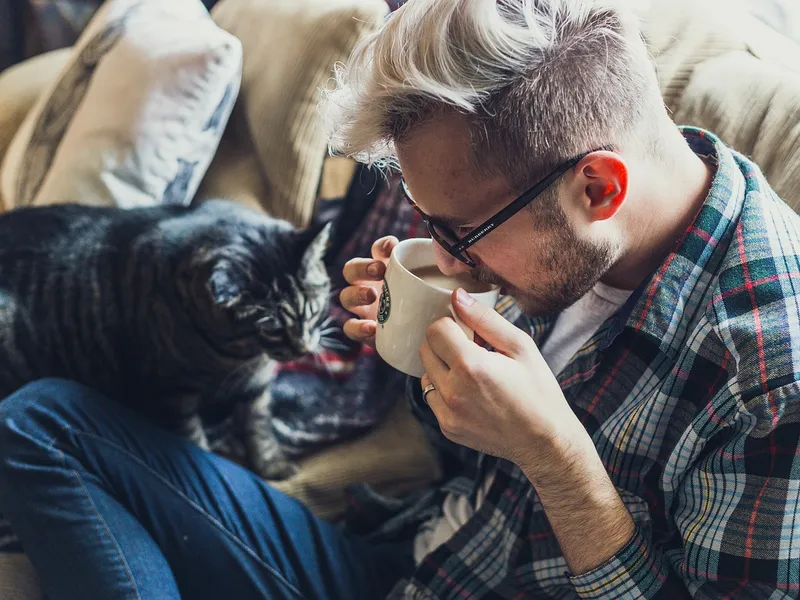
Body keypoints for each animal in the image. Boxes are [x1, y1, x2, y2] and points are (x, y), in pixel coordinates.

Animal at [0, 199, 332, 480]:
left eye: (313, 311)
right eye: (271, 329)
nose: (303, 348)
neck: (240, 356)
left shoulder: (256, 387)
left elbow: (259, 427)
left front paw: (271, 464)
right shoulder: (173, 392)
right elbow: (193, 437)